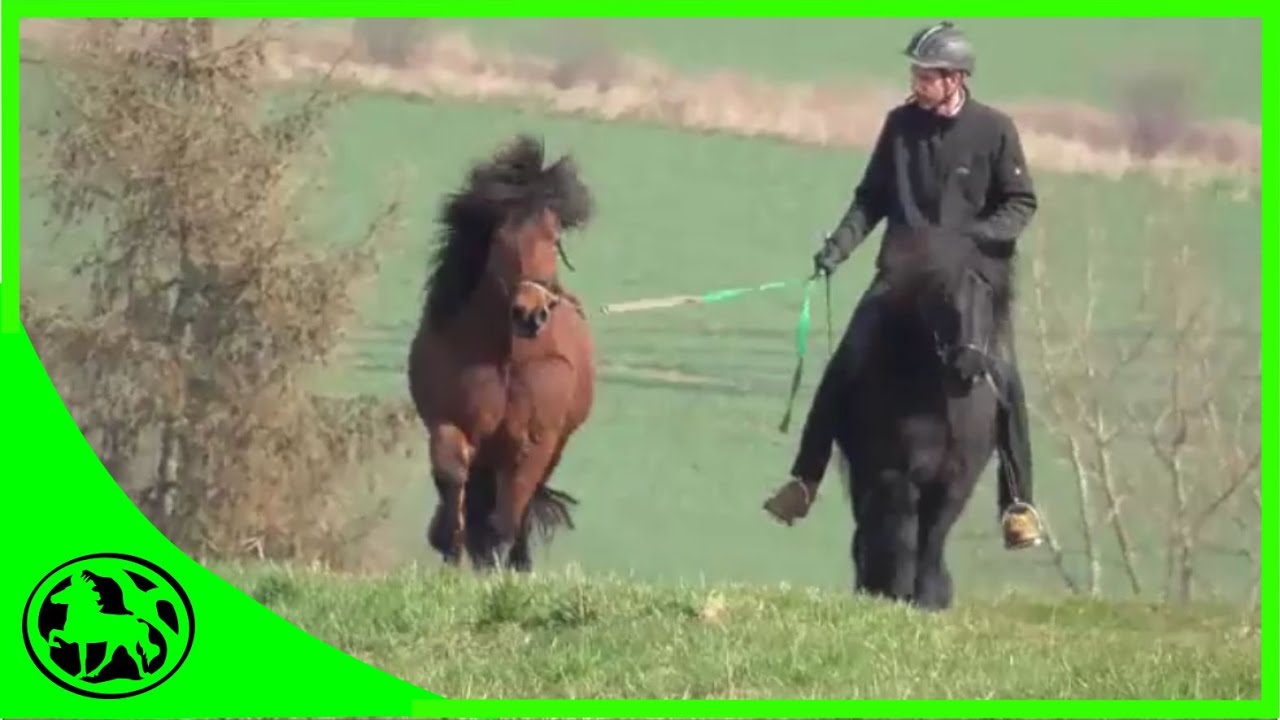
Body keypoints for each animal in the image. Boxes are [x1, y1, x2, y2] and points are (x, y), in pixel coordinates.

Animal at [404, 135, 593, 571]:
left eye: (553, 239)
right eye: (500, 239)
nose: (530, 313)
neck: (505, 357)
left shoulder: (535, 441)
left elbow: (510, 510)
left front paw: (492, 555)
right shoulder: (451, 421)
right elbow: (451, 474)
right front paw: (449, 543)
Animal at [834, 222, 1034, 604]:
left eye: (988, 295)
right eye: (942, 294)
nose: (967, 365)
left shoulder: (956, 479)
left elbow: (934, 533)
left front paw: (929, 596)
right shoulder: (894, 470)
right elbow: (901, 528)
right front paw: (894, 589)